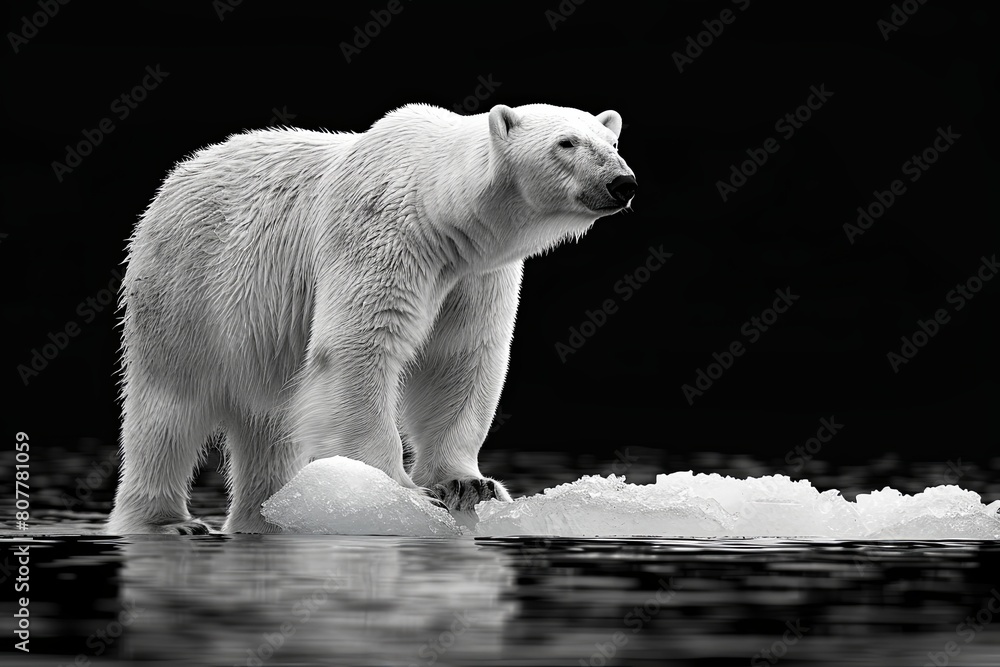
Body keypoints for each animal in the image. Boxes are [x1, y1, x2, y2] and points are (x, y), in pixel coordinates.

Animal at [106, 102, 636, 534]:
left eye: (612, 142)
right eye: (566, 142)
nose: (622, 183)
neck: (441, 211)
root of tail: (177, 175)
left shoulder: (475, 275)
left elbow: (460, 359)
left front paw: (469, 484)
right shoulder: (382, 234)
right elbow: (361, 347)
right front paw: (398, 489)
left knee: (268, 423)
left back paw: (267, 515)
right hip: (187, 288)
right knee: (168, 408)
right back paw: (166, 521)